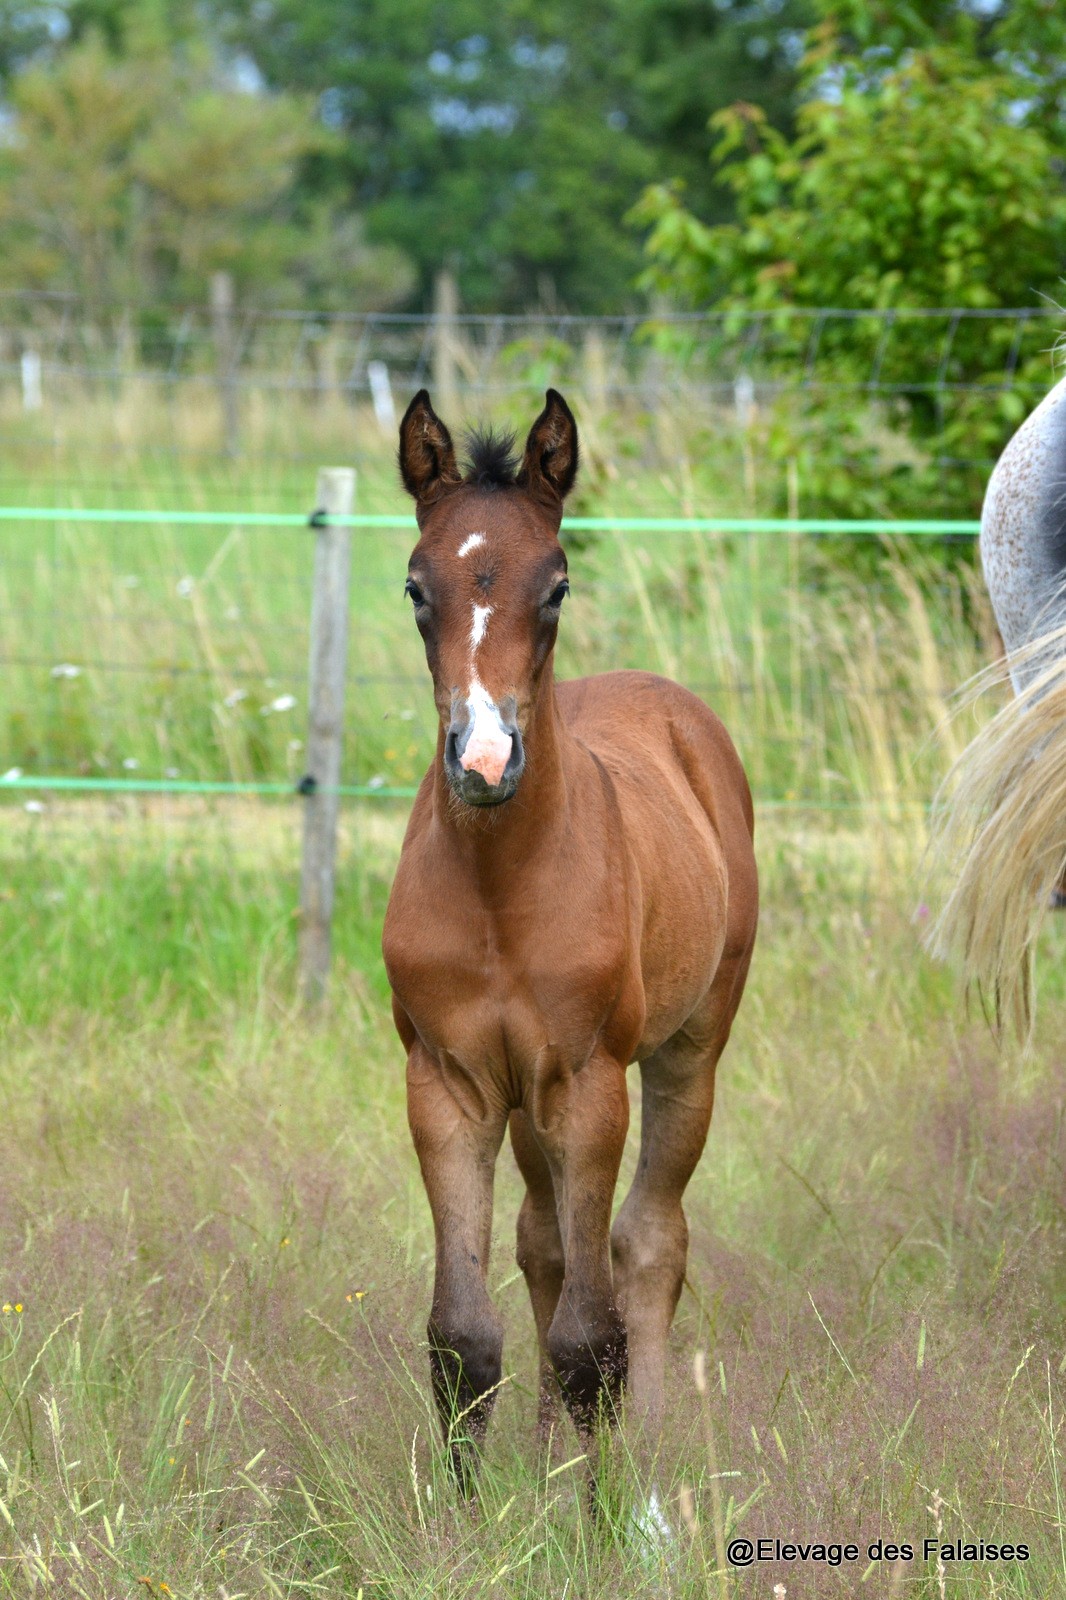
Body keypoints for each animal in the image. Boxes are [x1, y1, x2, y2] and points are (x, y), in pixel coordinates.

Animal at [382, 387, 755, 1484]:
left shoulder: (588, 1084)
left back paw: (651, 1453)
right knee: (543, 1243)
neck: (501, 893)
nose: (484, 759)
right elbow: (463, 1337)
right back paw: (551, 1455)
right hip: (525, 1098)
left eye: (556, 587)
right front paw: (469, 1517)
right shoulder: (450, 1083)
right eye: (416, 587)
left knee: (650, 1241)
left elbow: (594, 1339)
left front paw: (605, 1509)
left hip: (686, 1050)